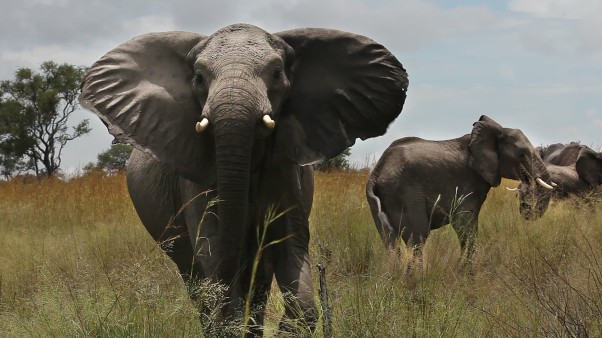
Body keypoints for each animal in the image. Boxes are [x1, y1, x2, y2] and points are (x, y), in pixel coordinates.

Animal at [78, 23, 408, 336]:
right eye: (199, 77)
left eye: (276, 73)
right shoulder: (198, 179)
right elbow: (212, 247)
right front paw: (229, 318)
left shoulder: (286, 173)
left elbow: (291, 248)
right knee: (196, 281)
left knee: (256, 284)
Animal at [364, 115, 552, 260]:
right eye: (522, 154)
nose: (526, 207)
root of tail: (377, 173)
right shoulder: (468, 182)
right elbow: (465, 225)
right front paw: (466, 276)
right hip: (404, 194)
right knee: (417, 237)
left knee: (390, 242)